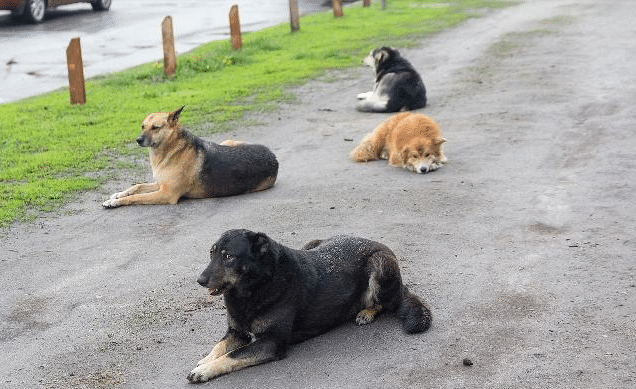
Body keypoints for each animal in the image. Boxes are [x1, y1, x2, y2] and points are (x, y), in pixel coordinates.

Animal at [102, 106, 278, 208]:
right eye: (142, 126)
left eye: (155, 128)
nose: (138, 140)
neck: (171, 150)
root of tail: (274, 157)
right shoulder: (160, 184)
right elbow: (137, 187)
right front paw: (118, 194)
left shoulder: (167, 194)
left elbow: (137, 196)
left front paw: (115, 202)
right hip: (228, 141)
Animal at [186, 227, 430, 382]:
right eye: (212, 253)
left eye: (228, 256)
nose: (200, 280)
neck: (258, 285)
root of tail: (378, 243)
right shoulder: (237, 332)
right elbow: (219, 348)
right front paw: (204, 362)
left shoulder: (271, 343)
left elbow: (232, 355)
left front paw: (205, 370)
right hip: (312, 243)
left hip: (380, 264)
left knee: (387, 302)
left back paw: (366, 312)